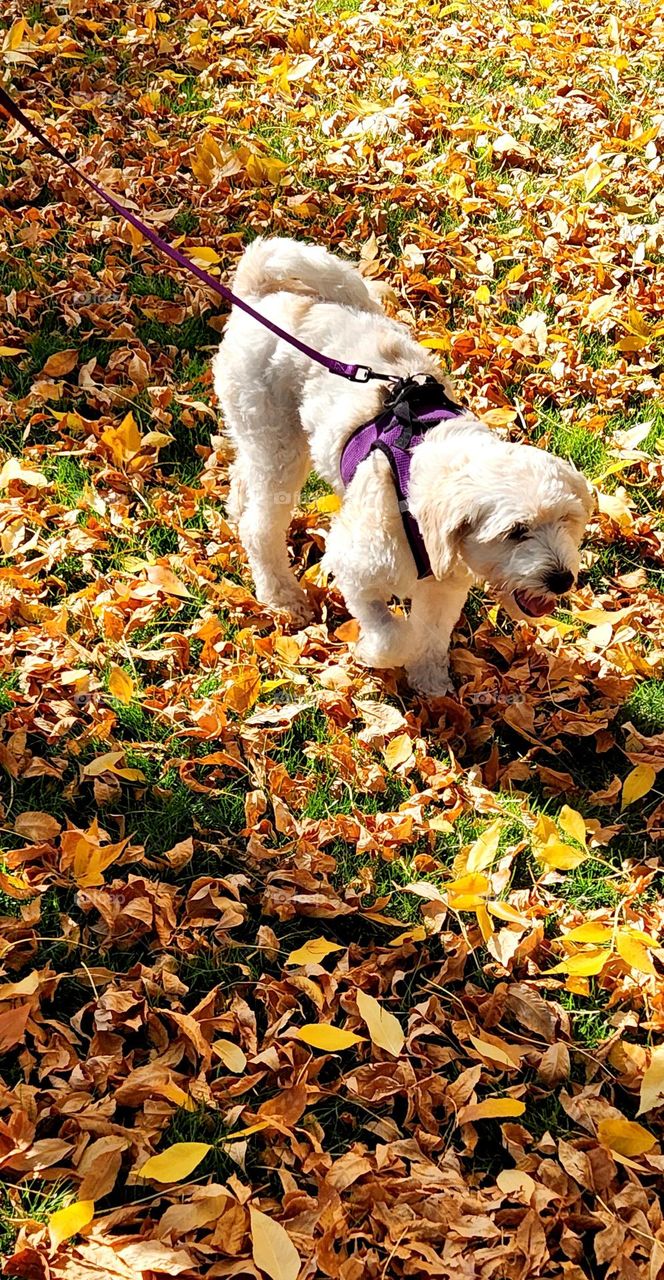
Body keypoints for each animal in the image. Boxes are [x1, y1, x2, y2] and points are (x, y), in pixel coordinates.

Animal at [212, 240, 593, 701]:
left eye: (567, 520)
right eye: (515, 531)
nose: (562, 580)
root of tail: (260, 293)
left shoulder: (443, 590)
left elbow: (429, 637)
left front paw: (430, 682)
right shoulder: (355, 567)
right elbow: (394, 635)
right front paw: (373, 655)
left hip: (262, 441)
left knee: (243, 478)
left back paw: (237, 508)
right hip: (278, 445)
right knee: (260, 528)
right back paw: (282, 595)